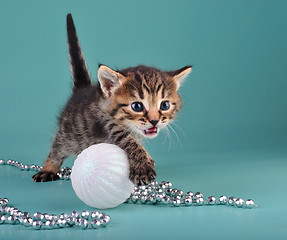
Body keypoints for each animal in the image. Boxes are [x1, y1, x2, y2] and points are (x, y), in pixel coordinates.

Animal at [32, 13, 192, 186]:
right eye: (137, 106)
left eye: (165, 105)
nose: (155, 121)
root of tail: (81, 90)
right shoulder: (105, 121)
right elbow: (127, 139)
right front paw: (142, 168)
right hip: (70, 135)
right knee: (57, 147)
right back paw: (48, 168)